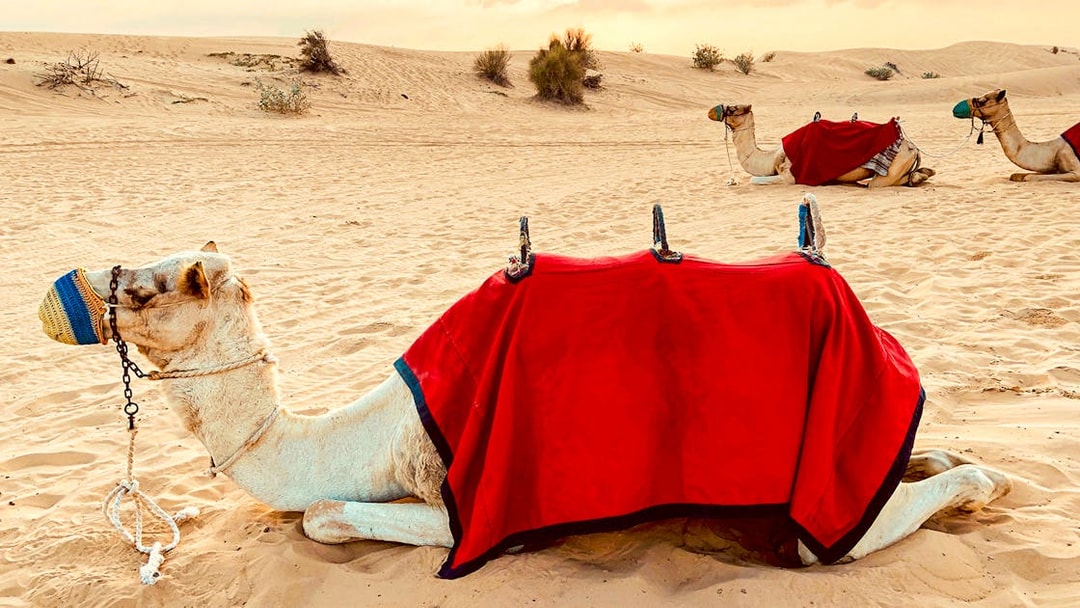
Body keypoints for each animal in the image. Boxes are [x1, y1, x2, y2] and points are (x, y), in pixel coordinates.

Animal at [41, 238, 1011, 577]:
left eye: (150, 287)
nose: (68, 295)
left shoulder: (468, 501)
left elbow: (321, 514)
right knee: (907, 461)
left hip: (818, 498)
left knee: (869, 522)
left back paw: (987, 483)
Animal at [707, 104, 936, 187]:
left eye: (734, 109)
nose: (712, 111)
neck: (773, 157)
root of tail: (913, 147)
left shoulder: (791, 176)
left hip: (889, 171)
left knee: (880, 183)